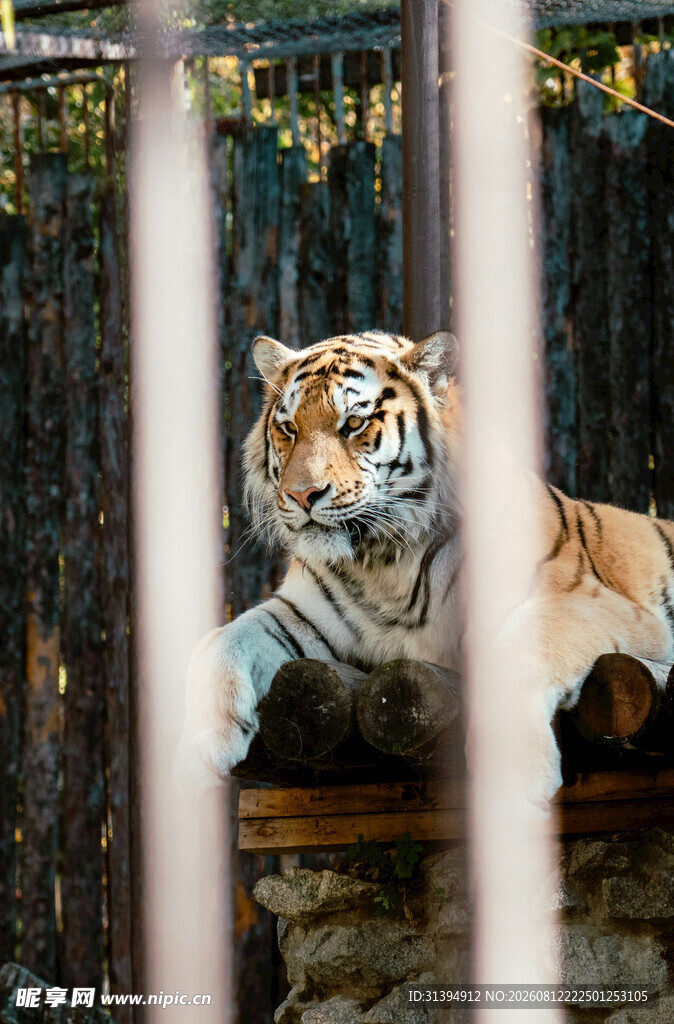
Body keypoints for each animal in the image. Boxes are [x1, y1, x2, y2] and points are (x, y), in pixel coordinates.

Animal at [180, 329, 674, 809]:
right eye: (288, 428)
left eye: (354, 424)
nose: (302, 495)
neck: (383, 562)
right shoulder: (302, 615)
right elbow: (224, 639)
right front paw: (198, 747)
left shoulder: (599, 603)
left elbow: (518, 650)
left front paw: (516, 776)